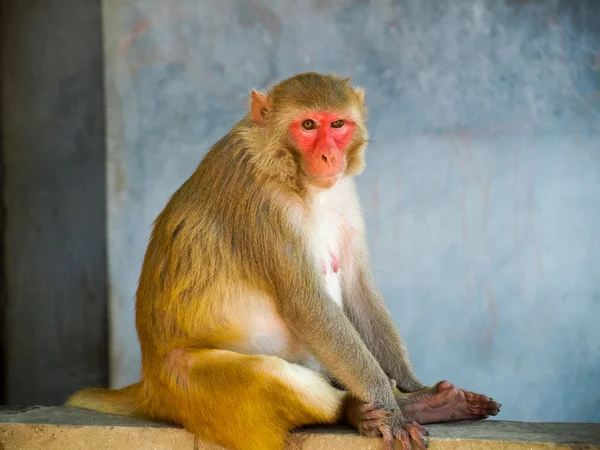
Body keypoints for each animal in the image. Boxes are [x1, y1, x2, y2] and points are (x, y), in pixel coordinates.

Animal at [65, 73, 500, 450]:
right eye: (307, 125)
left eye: (337, 124)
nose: (328, 155)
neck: (288, 170)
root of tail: (149, 386)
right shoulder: (259, 200)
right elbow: (304, 304)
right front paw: (390, 409)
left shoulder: (343, 192)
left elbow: (358, 288)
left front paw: (412, 386)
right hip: (188, 389)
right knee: (268, 375)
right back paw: (356, 411)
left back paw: (423, 403)